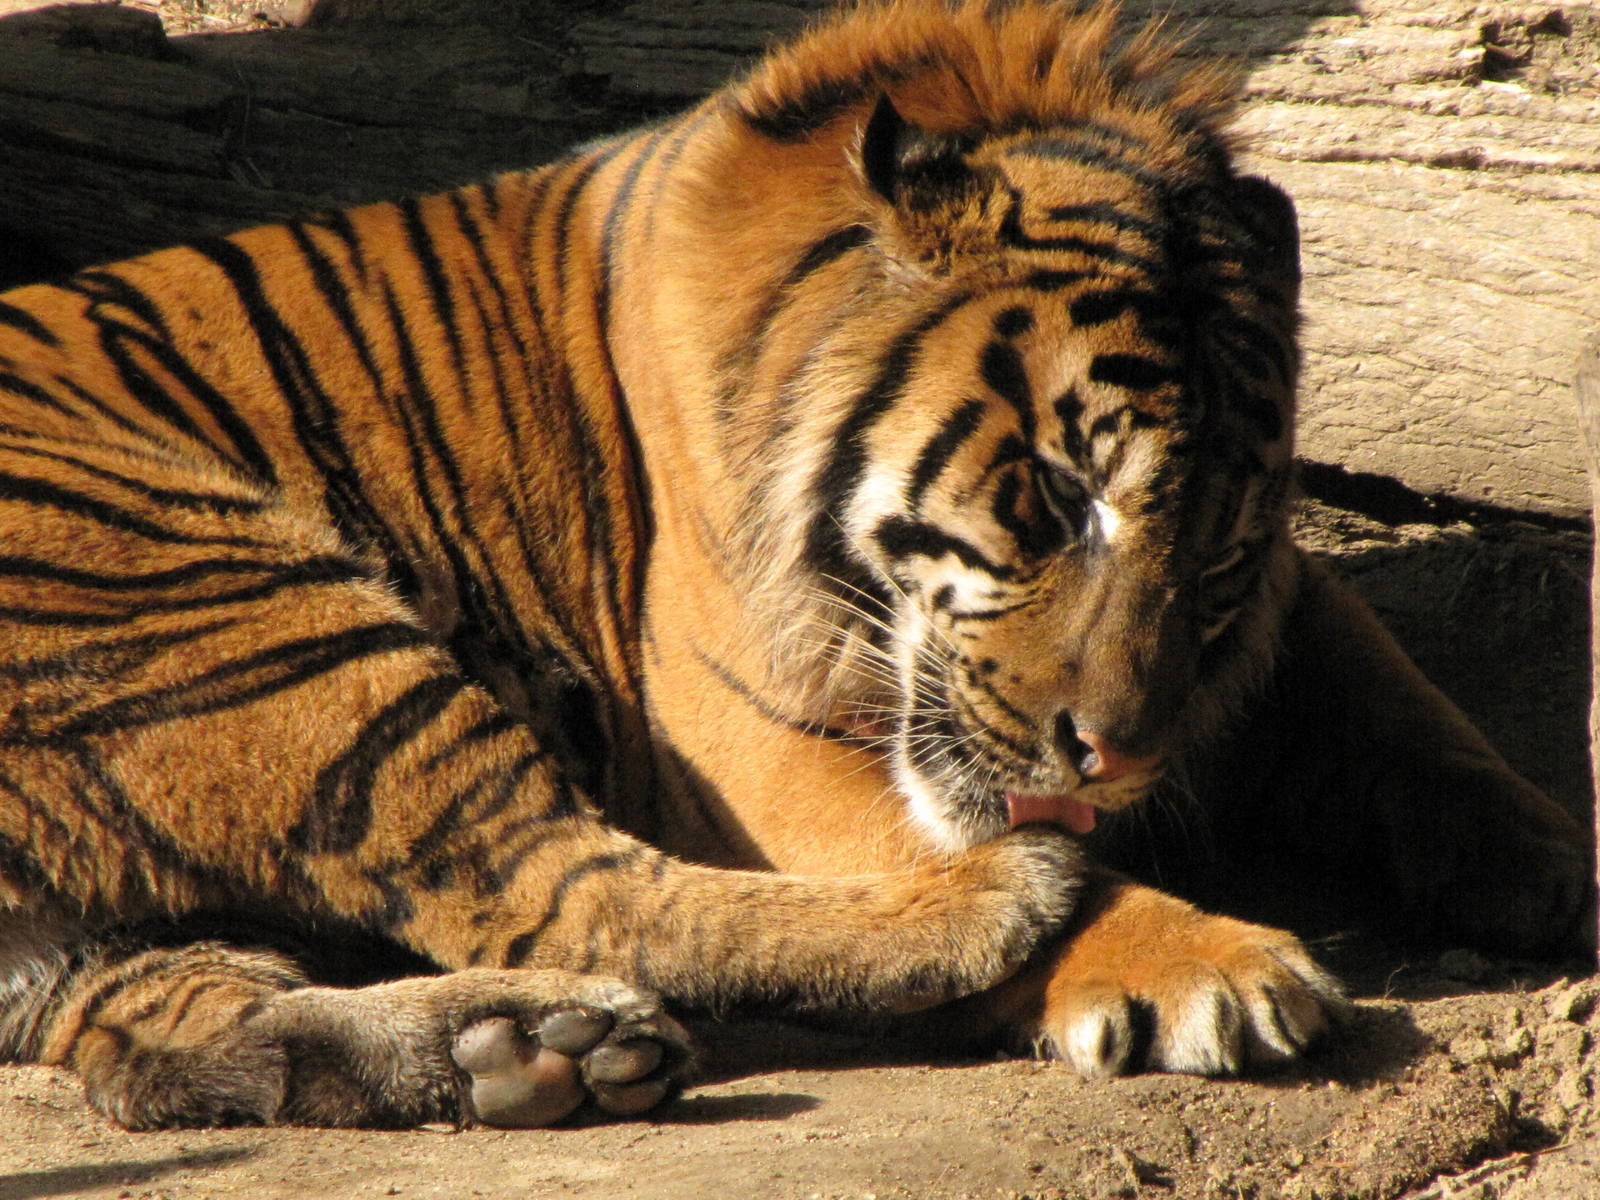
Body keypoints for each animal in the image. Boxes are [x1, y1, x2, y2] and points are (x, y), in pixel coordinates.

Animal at [0, 0, 1588, 1132]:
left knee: (156, 1039)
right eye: (1058, 496)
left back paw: (525, 1048)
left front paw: (1554, 864)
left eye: (1219, 548)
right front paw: (1198, 959)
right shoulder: (751, 741)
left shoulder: (1286, 614)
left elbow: (1411, 722)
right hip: (240, 604)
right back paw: (983, 901)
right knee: (568, 889)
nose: (1121, 760)